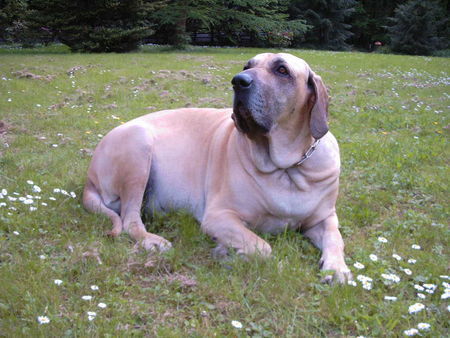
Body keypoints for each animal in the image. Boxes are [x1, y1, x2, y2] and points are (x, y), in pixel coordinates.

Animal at [82, 52, 354, 284]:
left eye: (282, 70)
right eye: (247, 66)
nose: (238, 81)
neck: (286, 166)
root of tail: (89, 180)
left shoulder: (324, 218)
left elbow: (335, 238)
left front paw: (337, 268)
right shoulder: (219, 216)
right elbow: (262, 247)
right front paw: (229, 253)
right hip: (138, 146)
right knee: (129, 220)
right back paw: (152, 240)